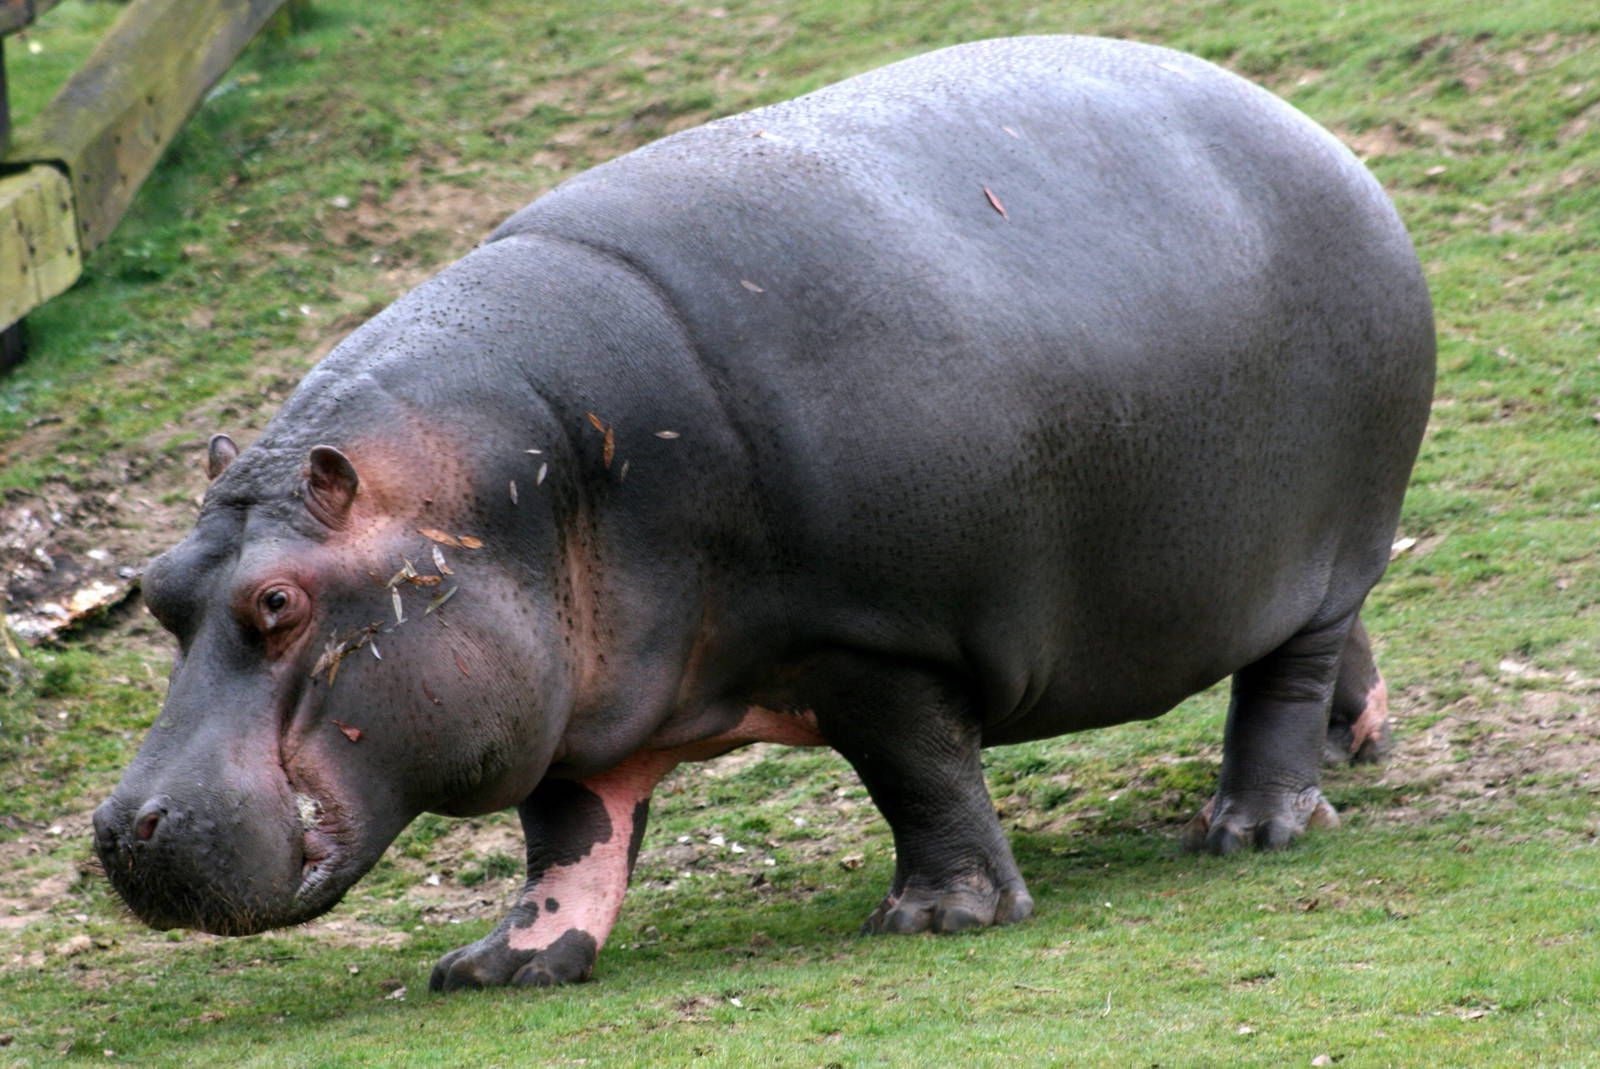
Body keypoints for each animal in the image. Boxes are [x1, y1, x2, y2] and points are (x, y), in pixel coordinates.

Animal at [92, 35, 1434, 990]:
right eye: (157, 587)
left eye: (278, 601)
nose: (119, 826)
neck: (522, 469)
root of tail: (1310, 129)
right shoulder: (570, 700)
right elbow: (567, 841)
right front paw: (495, 969)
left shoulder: (874, 640)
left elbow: (919, 774)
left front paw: (937, 919)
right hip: (1287, 559)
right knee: (1315, 647)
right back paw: (1346, 750)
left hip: (1334, 527)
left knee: (1282, 678)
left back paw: (1250, 829)